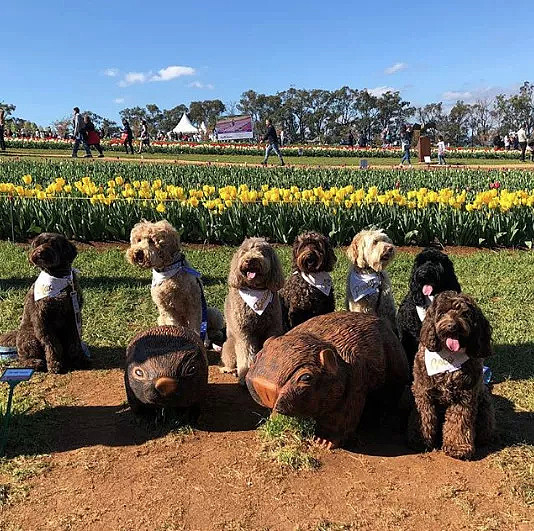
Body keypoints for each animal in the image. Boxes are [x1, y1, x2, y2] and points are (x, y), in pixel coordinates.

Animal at [0, 233, 88, 374]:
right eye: (37, 244)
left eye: (53, 244)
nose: (39, 252)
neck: (57, 276)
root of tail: (17, 333)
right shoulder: (42, 319)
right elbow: (51, 343)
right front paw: (55, 364)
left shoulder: (73, 316)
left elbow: (74, 339)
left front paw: (79, 359)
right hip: (30, 337)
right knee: (24, 358)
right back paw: (35, 362)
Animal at [222, 239, 286, 384]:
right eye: (244, 252)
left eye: (261, 251)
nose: (250, 260)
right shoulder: (244, 333)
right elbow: (246, 354)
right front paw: (244, 376)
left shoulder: (273, 327)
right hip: (229, 347)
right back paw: (231, 370)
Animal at [247, 312, 410, 448]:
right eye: (256, 357)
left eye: (306, 377)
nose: (263, 386)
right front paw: (273, 423)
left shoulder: (354, 385)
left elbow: (341, 419)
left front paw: (323, 441)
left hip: (395, 367)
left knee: (388, 397)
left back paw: (374, 421)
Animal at [410, 290, 498, 462]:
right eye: (442, 312)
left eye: (465, 314)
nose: (452, 326)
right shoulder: (423, 392)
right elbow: (425, 415)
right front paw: (421, 439)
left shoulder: (465, 397)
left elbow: (459, 423)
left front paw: (458, 447)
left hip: (484, 403)